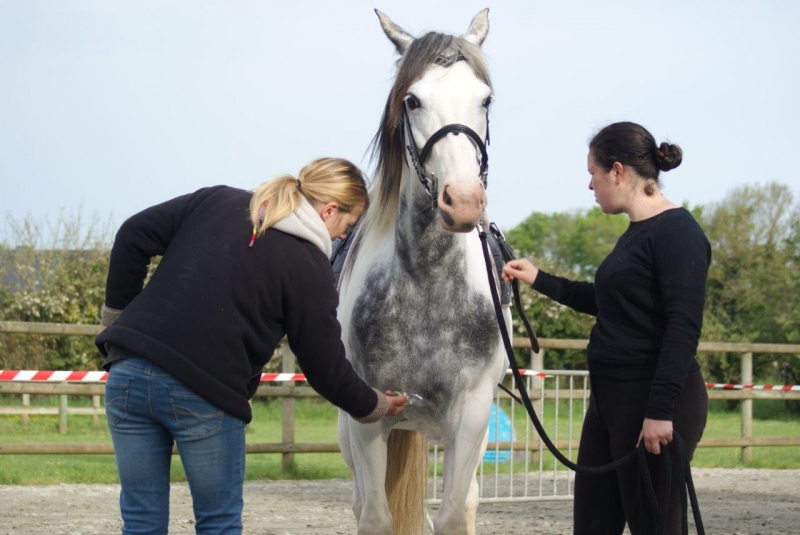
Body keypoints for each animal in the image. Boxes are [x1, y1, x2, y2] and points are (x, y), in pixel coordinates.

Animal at [338, 8, 512, 535]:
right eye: (413, 100)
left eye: (485, 98)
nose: (464, 201)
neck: (426, 288)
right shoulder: (368, 417)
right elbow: (376, 517)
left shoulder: (473, 416)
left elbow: (454, 513)